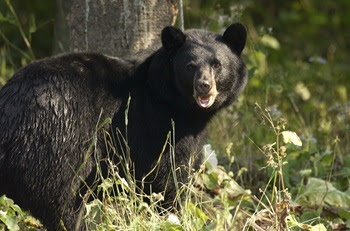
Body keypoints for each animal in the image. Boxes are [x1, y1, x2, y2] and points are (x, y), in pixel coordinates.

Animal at [0, 23, 247, 229]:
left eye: (217, 65)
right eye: (190, 66)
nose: (204, 86)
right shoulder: (153, 123)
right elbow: (168, 175)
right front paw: (173, 215)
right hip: (57, 142)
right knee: (63, 199)